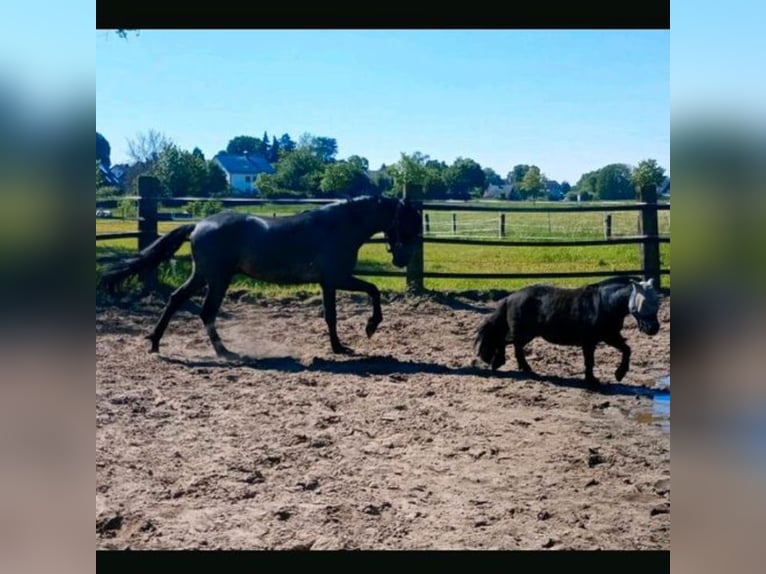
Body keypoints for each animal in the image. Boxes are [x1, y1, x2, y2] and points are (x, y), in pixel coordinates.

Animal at [99, 198, 424, 360]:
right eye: (406, 222)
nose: (402, 260)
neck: (339, 226)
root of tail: (199, 224)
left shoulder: (329, 282)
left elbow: (334, 313)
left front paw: (341, 346)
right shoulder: (336, 278)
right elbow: (370, 292)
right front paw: (367, 329)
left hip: (203, 276)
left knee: (176, 299)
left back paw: (155, 343)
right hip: (218, 279)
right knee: (206, 312)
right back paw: (225, 352)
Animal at [472, 276, 664, 384]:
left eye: (657, 302)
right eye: (644, 302)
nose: (653, 329)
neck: (605, 303)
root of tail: (510, 297)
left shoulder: (609, 336)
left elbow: (626, 350)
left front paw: (619, 374)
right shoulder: (590, 341)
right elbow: (589, 361)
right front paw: (592, 381)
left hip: (526, 334)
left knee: (515, 347)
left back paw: (525, 369)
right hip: (523, 332)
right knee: (507, 342)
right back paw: (500, 363)